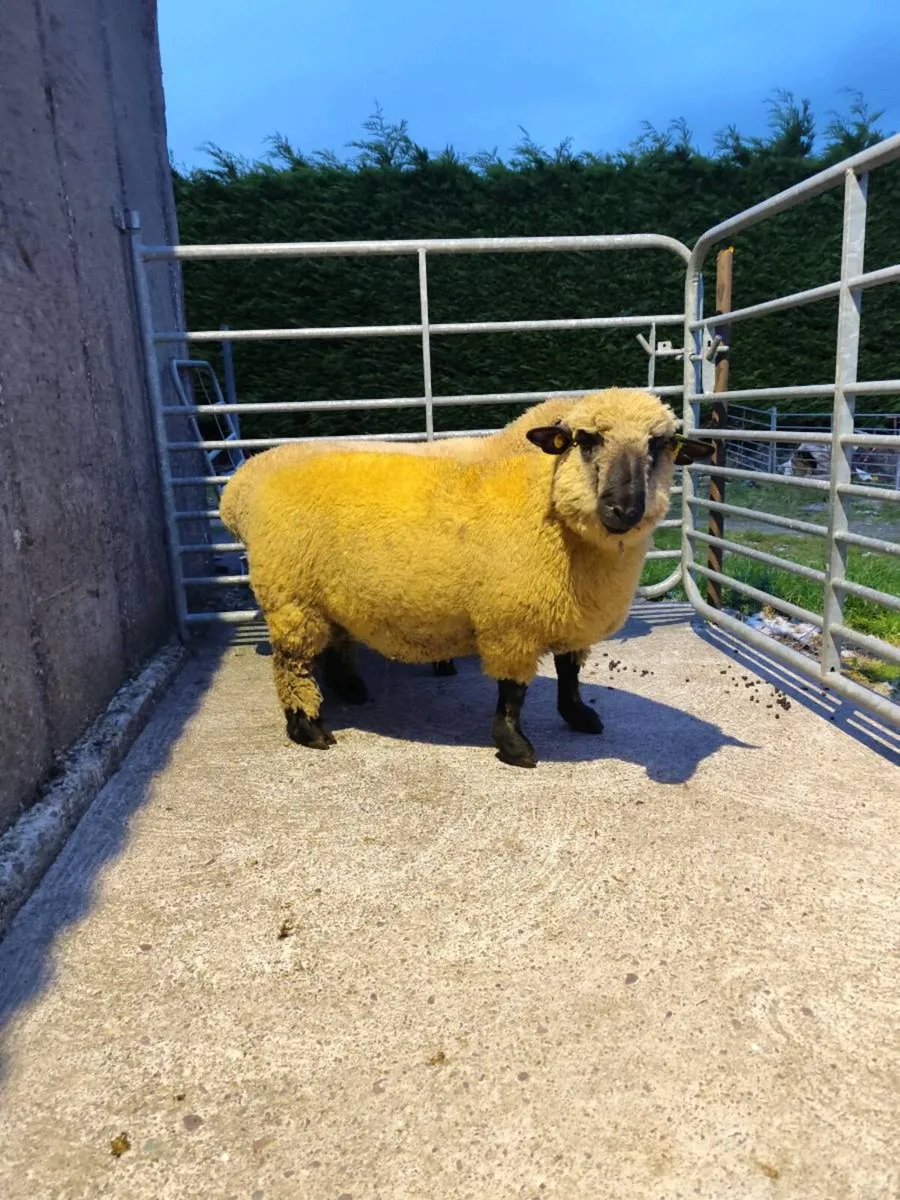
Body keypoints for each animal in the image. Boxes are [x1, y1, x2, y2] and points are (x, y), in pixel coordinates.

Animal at [220, 388, 712, 767]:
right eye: (583, 440)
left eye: (661, 445)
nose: (623, 508)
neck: (544, 494)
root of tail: (241, 485)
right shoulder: (511, 624)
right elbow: (512, 692)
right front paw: (514, 747)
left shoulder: (570, 618)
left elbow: (569, 673)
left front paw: (578, 717)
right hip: (291, 598)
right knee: (291, 665)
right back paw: (308, 727)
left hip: (326, 598)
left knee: (334, 644)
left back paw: (350, 691)